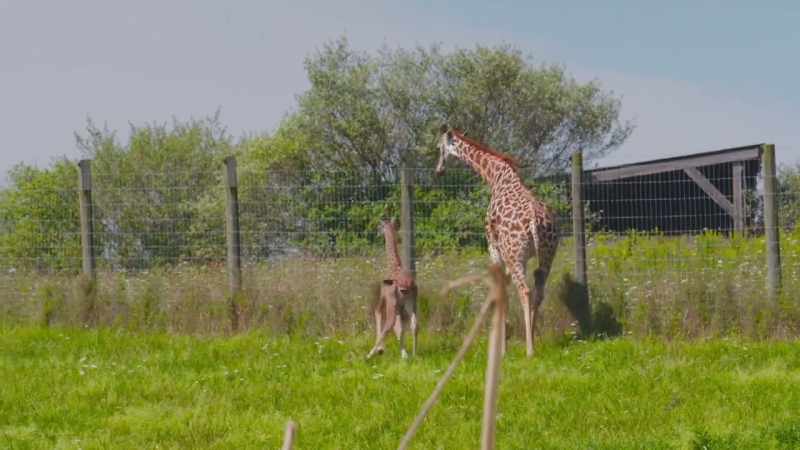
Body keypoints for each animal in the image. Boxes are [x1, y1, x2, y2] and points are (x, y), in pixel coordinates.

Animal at [366, 219, 419, 359]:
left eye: (379, 227)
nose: (377, 233)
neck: (394, 265)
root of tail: (407, 285)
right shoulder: (400, 307)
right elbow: (400, 328)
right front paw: (404, 354)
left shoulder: (384, 296)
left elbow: (377, 312)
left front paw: (381, 349)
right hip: (412, 303)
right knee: (414, 324)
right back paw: (414, 354)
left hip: (392, 303)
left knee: (389, 324)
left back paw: (368, 355)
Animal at [435, 125, 559, 357]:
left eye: (439, 147)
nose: (438, 170)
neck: (495, 176)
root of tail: (535, 221)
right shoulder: (510, 256)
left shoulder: (493, 248)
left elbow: (501, 290)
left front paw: (501, 349)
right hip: (547, 254)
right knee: (539, 291)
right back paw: (533, 340)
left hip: (516, 255)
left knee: (525, 291)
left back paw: (529, 350)